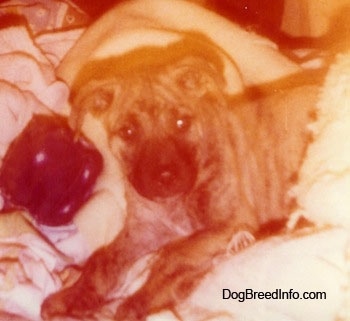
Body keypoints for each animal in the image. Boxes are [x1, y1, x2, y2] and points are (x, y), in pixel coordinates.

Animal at [40, 42, 318, 320]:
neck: (174, 205)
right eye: (128, 131)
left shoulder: (230, 223)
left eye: (181, 122)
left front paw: (139, 301)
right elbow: (103, 260)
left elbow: (174, 255)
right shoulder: (142, 231)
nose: (165, 177)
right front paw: (75, 295)